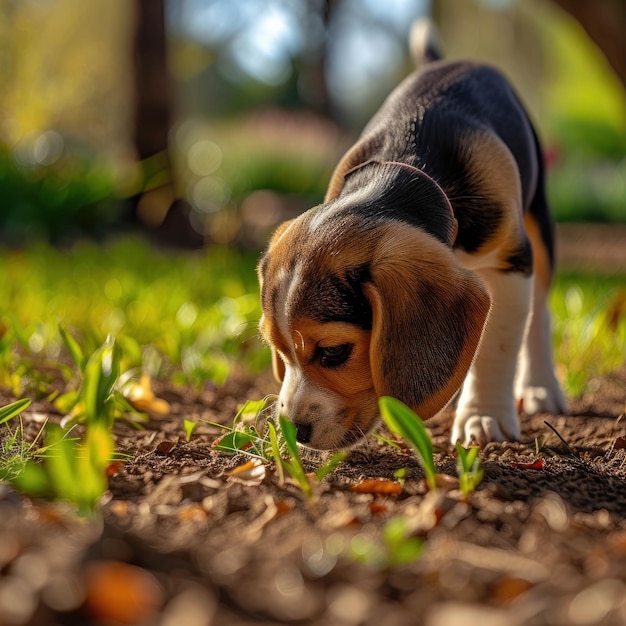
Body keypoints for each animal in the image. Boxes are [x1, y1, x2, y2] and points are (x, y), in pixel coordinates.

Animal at [256, 30, 564, 448]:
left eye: (334, 351)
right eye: (279, 350)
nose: (296, 433)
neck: (408, 165)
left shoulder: (510, 262)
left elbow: (497, 346)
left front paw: (483, 416)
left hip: (538, 225)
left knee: (539, 315)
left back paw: (540, 387)